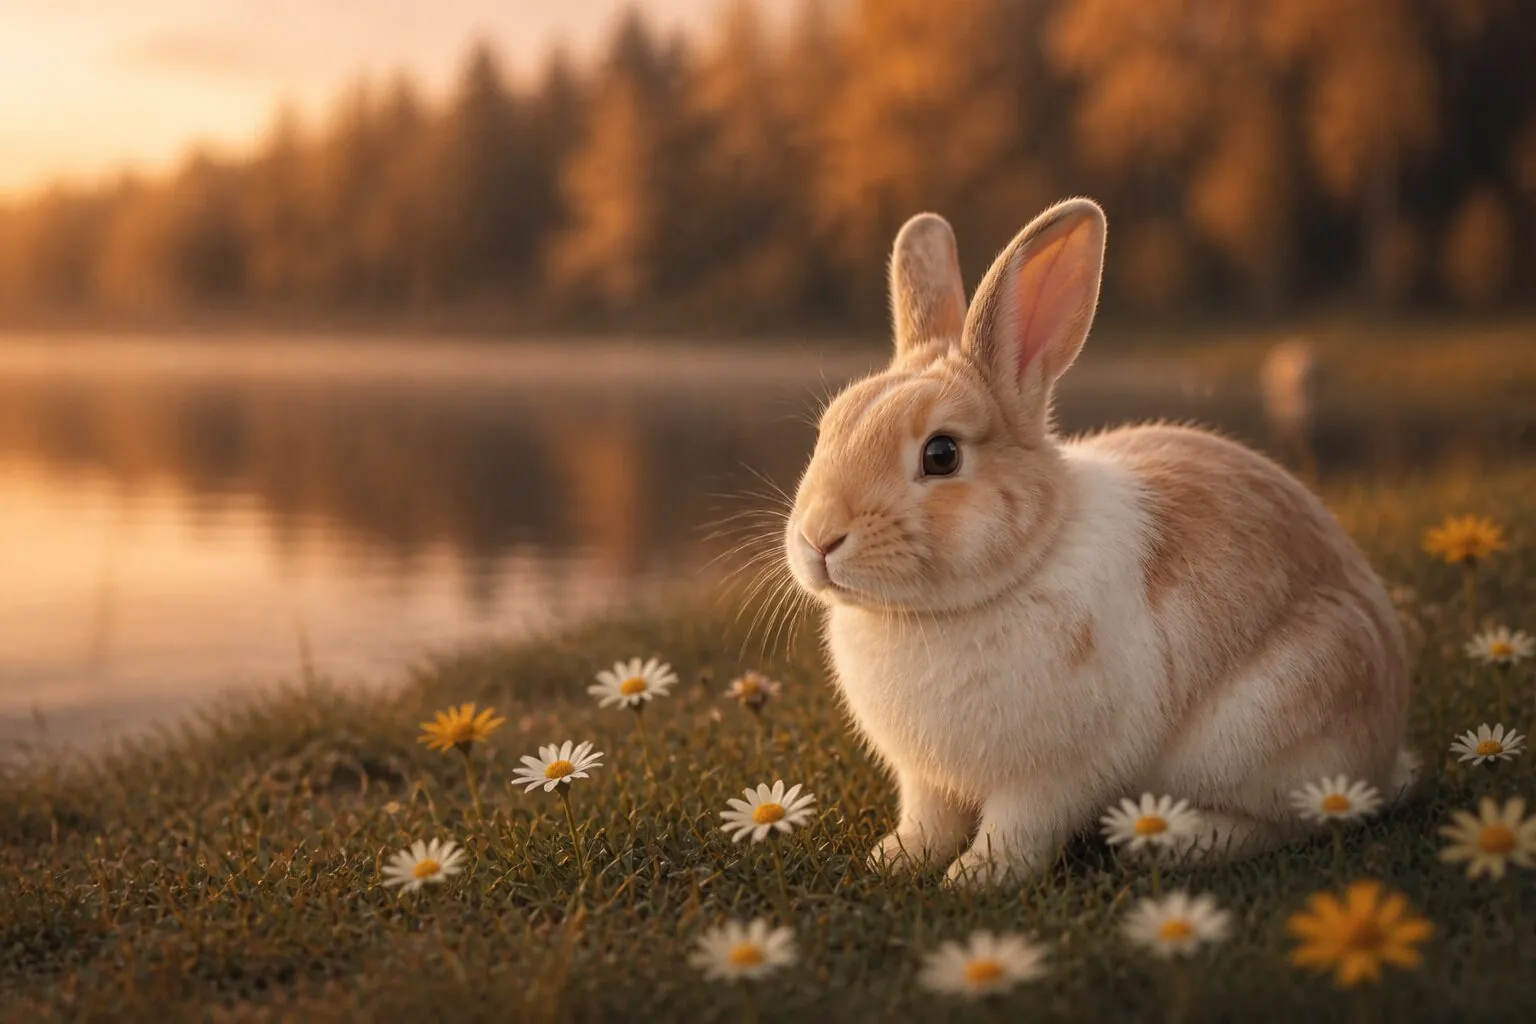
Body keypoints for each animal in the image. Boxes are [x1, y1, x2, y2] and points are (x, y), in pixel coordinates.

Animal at [783, 199, 1413, 887]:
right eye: (828, 427)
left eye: (941, 454)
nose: (819, 538)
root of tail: (1387, 747)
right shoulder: (926, 781)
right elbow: (929, 822)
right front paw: (893, 861)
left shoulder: (1052, 777)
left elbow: (1020, 829)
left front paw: (977, 877)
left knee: (1288, 822)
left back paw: (1172, 841)